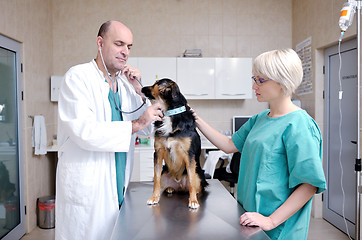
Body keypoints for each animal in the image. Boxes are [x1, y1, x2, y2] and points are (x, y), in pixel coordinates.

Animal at [142, 78, 208, 208]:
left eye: (156, 84)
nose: (141, 88)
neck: (169, 113)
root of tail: (180, 184)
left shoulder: (190, 155)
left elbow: (192, 181)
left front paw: (193, 201)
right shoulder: (158, 152)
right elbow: (156, 179)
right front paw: (154, 197)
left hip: (199, 173)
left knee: (197, 185)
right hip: (165, 171)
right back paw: (170, 189)